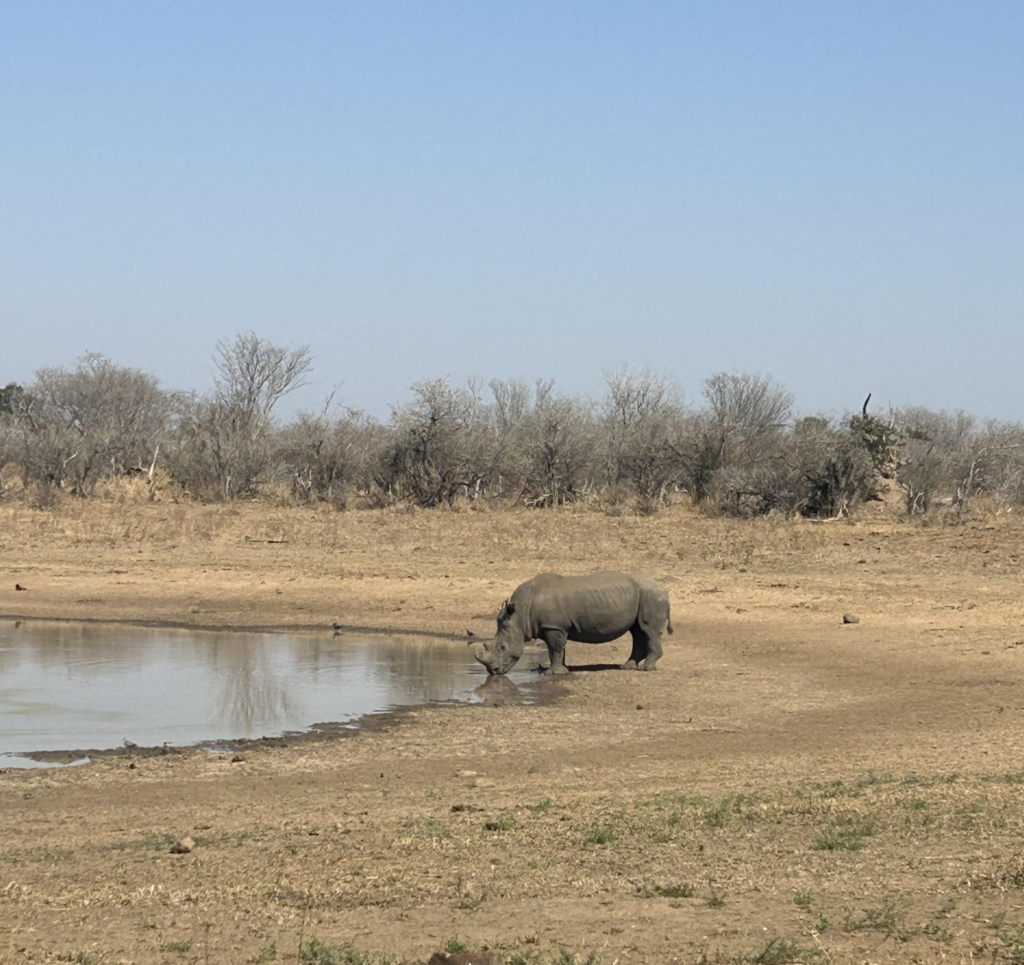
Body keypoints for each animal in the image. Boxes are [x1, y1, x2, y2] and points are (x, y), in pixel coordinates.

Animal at [473, 572, 673, 675]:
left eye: (503, 648)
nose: (494, 671)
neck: (520, 615)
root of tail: (664, 589)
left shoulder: (553, 626)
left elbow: (555, 649)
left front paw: (552, 673)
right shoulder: (557, 626)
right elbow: (559, 649)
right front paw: (563, 669)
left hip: (651, 596)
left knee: (648, 630)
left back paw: (647, 668)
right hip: (643, 595)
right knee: (637, 631)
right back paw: (627, 667)